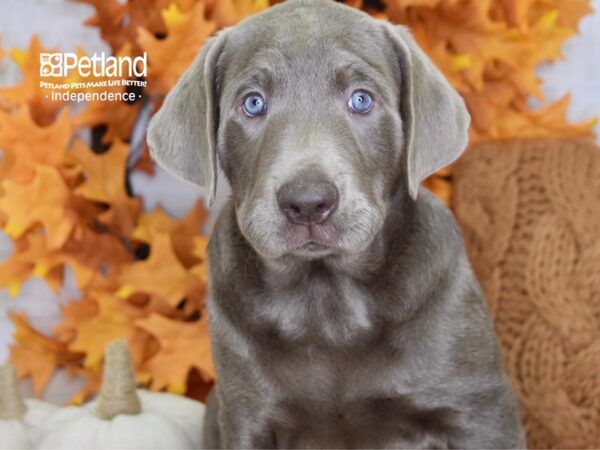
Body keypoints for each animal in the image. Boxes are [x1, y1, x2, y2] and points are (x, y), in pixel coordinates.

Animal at [146, 0, 524, 446]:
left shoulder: (479, 411)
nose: (308, 202)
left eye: (361, 99)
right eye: (253, 103)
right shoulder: (246, 417)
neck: (325, 303)